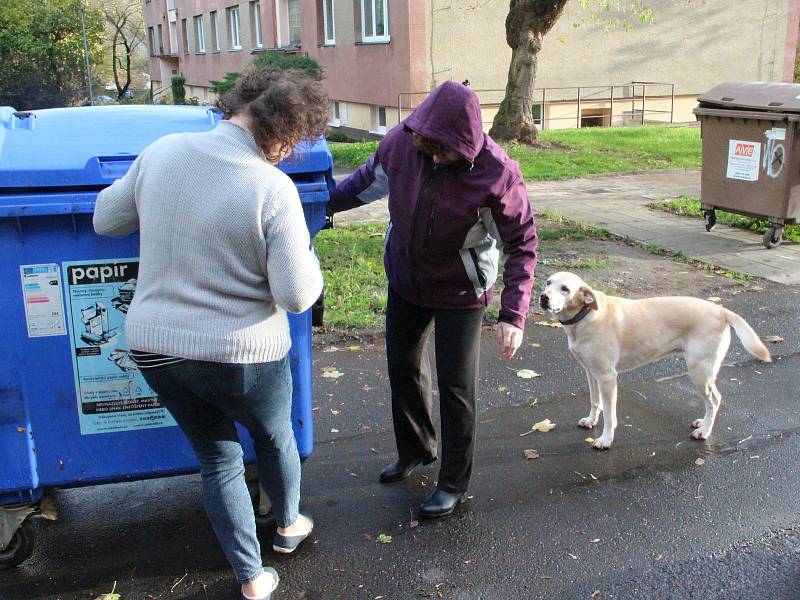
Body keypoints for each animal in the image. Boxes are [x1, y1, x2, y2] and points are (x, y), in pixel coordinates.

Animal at [536, 274, 768, 450]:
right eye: (548, 282)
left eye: (565, 289)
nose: (543, 297)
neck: (584, 316)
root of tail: (721, 310)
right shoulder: (591, 373)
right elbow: (595, 401)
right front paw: (591, 421)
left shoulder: (607, 378)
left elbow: (610, 415)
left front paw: (605, 439)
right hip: (706, 373)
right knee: (712, 402)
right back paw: (703, 423)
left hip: (699, 372)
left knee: (715, 400)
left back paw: (704, 431)